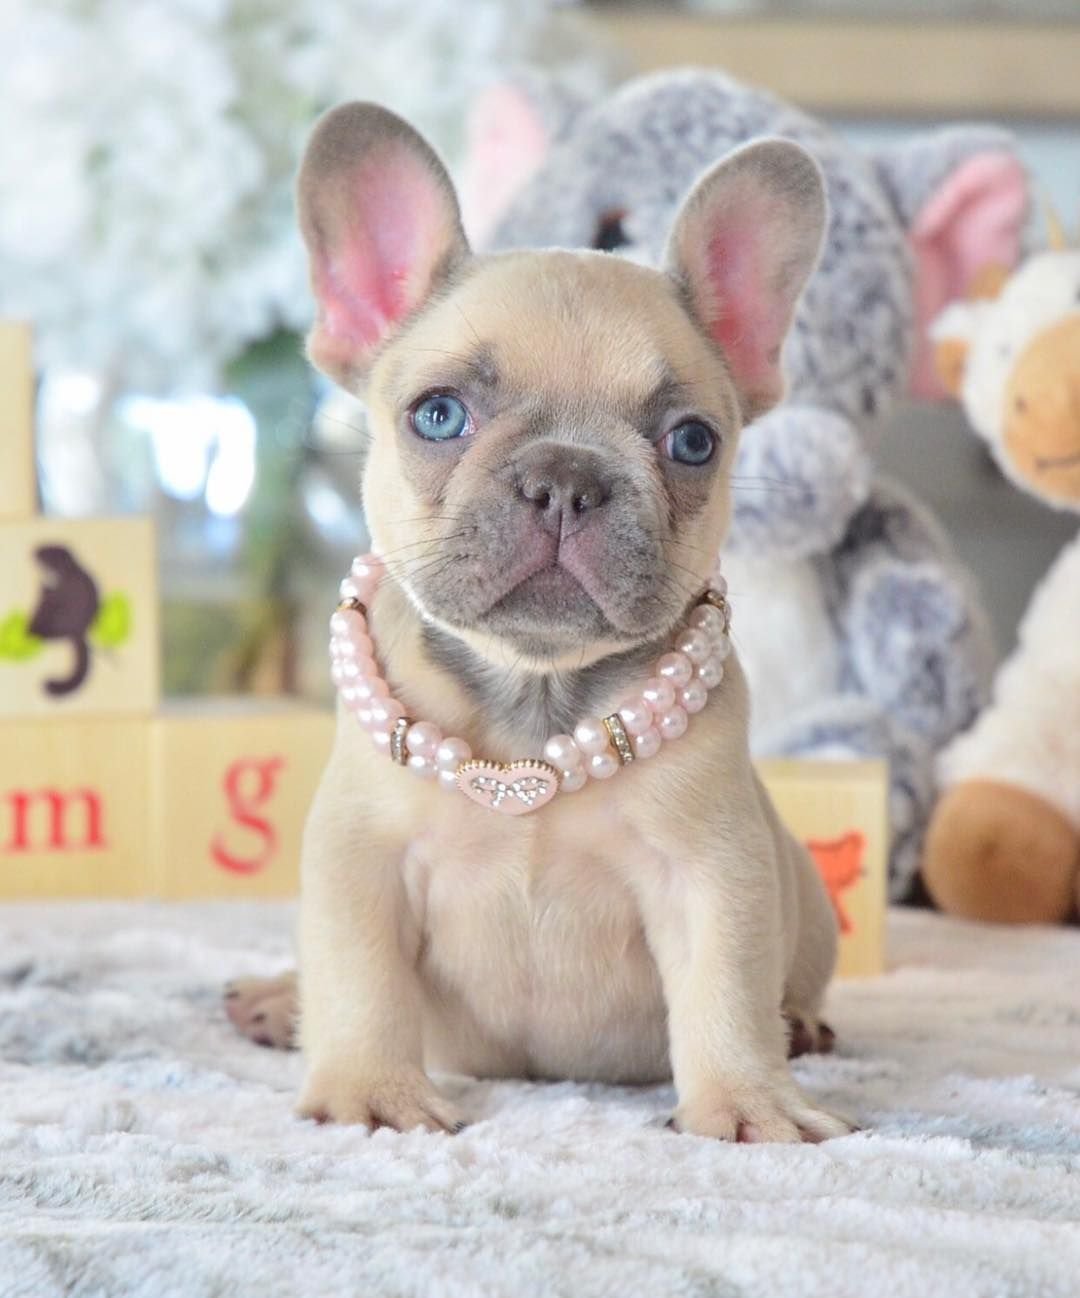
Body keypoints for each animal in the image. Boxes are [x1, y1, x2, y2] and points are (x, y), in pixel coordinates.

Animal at [226, 101, 852, 1143]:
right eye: (438, 416)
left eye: (692, 440)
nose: (566, 477)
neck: (535, 691)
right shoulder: (361, 861)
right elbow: (359, 977)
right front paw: (370, 1091)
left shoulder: (713, 872)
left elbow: (726, 990)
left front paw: (747, 1101)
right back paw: (280, 1001)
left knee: (784, 987)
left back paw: (798, 1027)